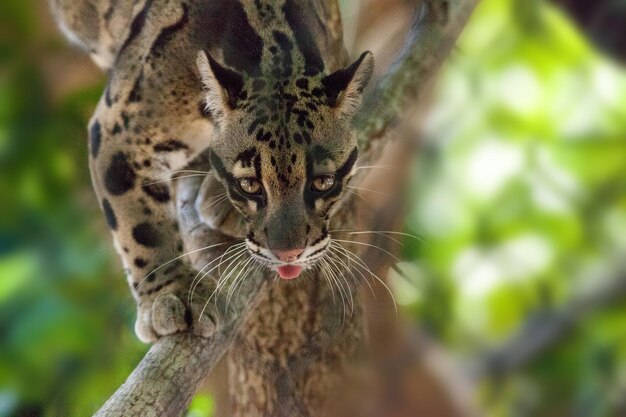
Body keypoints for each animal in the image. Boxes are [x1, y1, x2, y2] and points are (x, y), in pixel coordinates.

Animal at [51, 0, 370, 342]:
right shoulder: (118, 129)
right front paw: (172, 292)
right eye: (250, 185)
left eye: (323, 182)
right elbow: (143, 227)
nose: (289, 254)